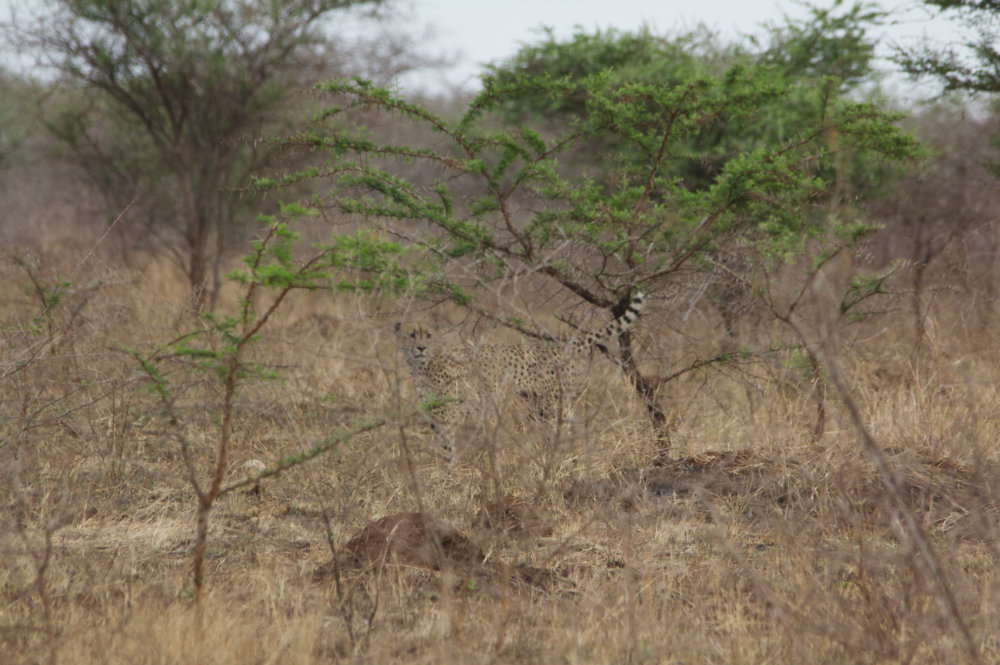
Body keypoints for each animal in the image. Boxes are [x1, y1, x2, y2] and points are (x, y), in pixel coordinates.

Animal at [395, 291, 645, 432]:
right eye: (412, 335)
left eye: (428, 335)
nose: (421, 347)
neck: (422, 364)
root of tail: (559, 346)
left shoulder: (447, 414)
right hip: (537, 403)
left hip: (554, 403)